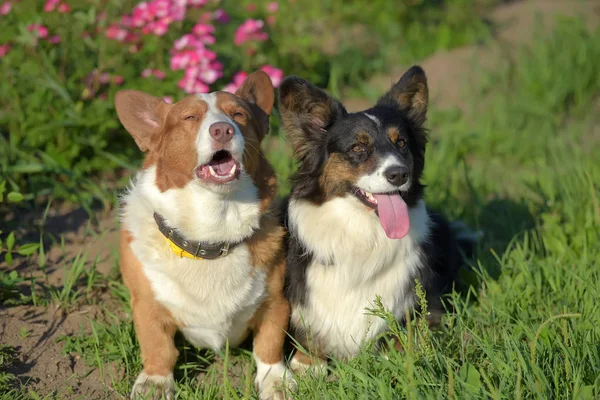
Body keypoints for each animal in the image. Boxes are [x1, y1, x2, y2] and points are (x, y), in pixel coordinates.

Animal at [114, 72, 296, 400]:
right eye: (189, 117)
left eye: (239, 115)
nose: (223, 129)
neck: (212, 232)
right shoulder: (147, 304)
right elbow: (158, 347)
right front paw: (155, 382)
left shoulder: (275, 301)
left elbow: (269, 345)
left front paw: (275, 381)